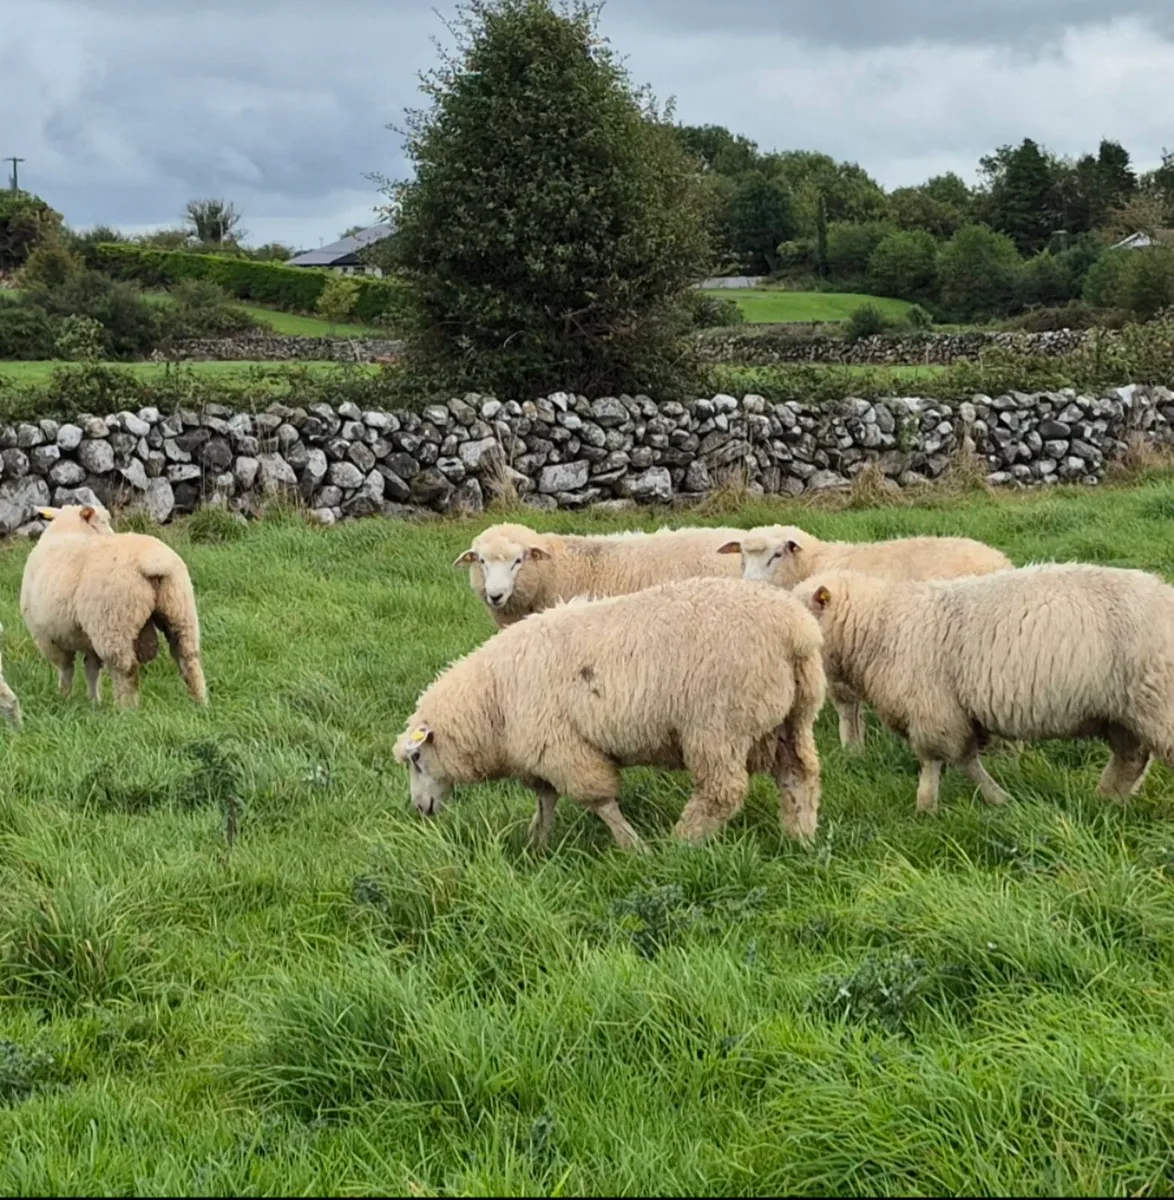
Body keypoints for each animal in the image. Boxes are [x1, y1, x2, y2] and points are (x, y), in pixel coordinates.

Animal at [21, 503, 207, 707]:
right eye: (103, 522)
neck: (69, 529)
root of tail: (154, 562)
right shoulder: (87, 640)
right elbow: (92, 670)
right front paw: (94, 702)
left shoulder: (48, 638)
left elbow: (67, 669)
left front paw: (64, 696)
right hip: (180, 611)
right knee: (188, 659)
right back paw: (199, 702)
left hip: (113, 624)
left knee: (127, 669)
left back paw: (125, 708)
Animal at [395, 575, 827, 849]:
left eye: (416, 759)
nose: (420, 810)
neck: (492, 700)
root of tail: (796, 630)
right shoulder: (540, 753)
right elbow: (545, 800)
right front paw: (536, 844)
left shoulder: (560, 746)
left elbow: (599, 800)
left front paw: (634, 848)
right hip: (793, 718)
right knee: (800, 775)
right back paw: (801, 837)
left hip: (718, 724)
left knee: (723, 792)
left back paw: (681, 843)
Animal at [718, 524, 1011, 751]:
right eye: (742, 556)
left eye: (777, 554)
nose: (750, 585)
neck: (812, 564)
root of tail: (999, 561)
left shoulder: (834, 653)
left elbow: (847, 704)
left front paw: (851, 748)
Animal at [792, 563, 1174, 816]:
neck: (882, 627)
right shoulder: (948, 713)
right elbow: (963, 760)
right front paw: (996, 800)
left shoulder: (935, 711)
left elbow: (942, 761)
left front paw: (927, 807)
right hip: (1123, 713)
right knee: (1130, 758)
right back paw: (1106, 800)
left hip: (1158, 705)